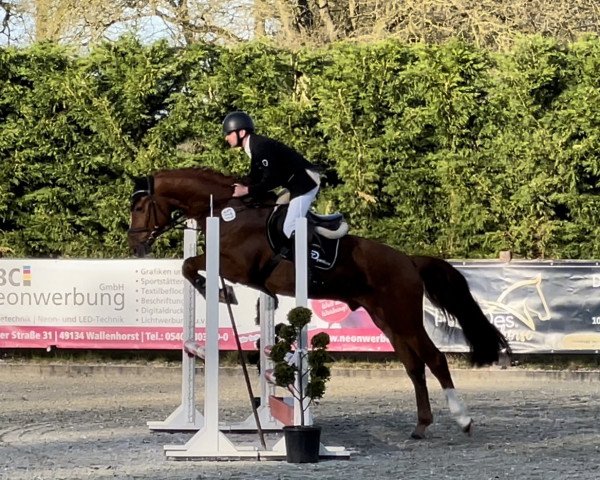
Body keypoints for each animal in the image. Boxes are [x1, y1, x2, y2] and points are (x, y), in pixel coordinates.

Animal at [126, 167, 510, 440]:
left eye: (141, 206)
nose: (135, 245)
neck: (228, 211)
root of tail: (409, 261)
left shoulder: (236, 265)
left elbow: (190, 265)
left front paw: (220, 292)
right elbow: (189, 266)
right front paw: (220, 292)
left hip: (404, 316)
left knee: (435, 358)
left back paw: (463, 420)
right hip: (386, 319)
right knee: (414, 367)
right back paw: (421, 426)